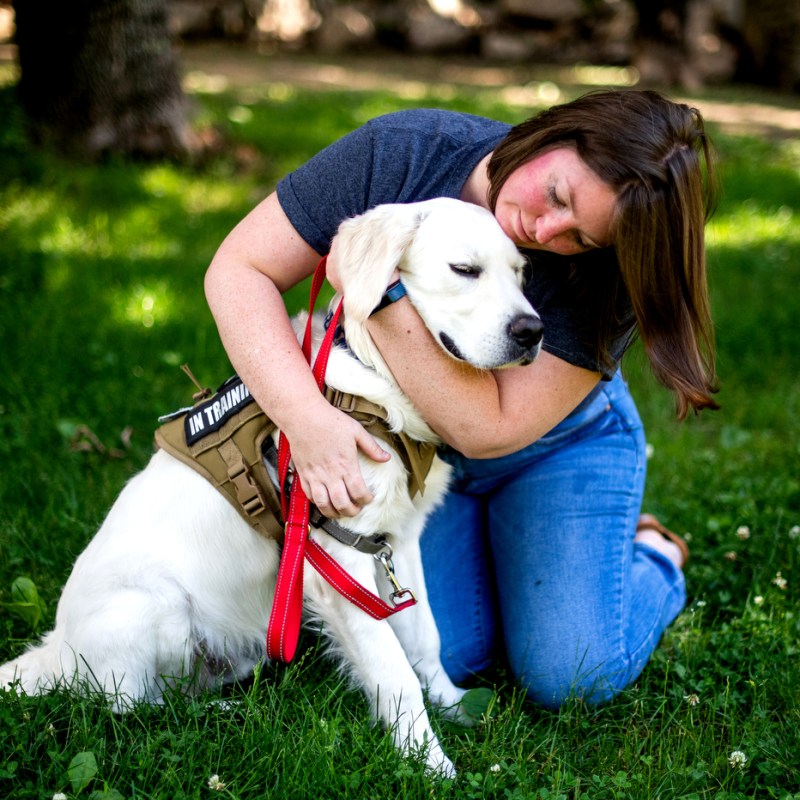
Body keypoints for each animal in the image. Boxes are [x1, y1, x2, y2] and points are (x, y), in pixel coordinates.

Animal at [1, 198, 544, 776]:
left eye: (521, 273)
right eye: (465, 270)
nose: (533, 331)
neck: (375, 389)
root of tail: (55, 650)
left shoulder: (398, 541)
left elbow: (426, 635)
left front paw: (456, 707)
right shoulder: (341, 559)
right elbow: (394, 671)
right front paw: (431, 765)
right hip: (156, 607)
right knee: (130, 707)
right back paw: (219, 713)